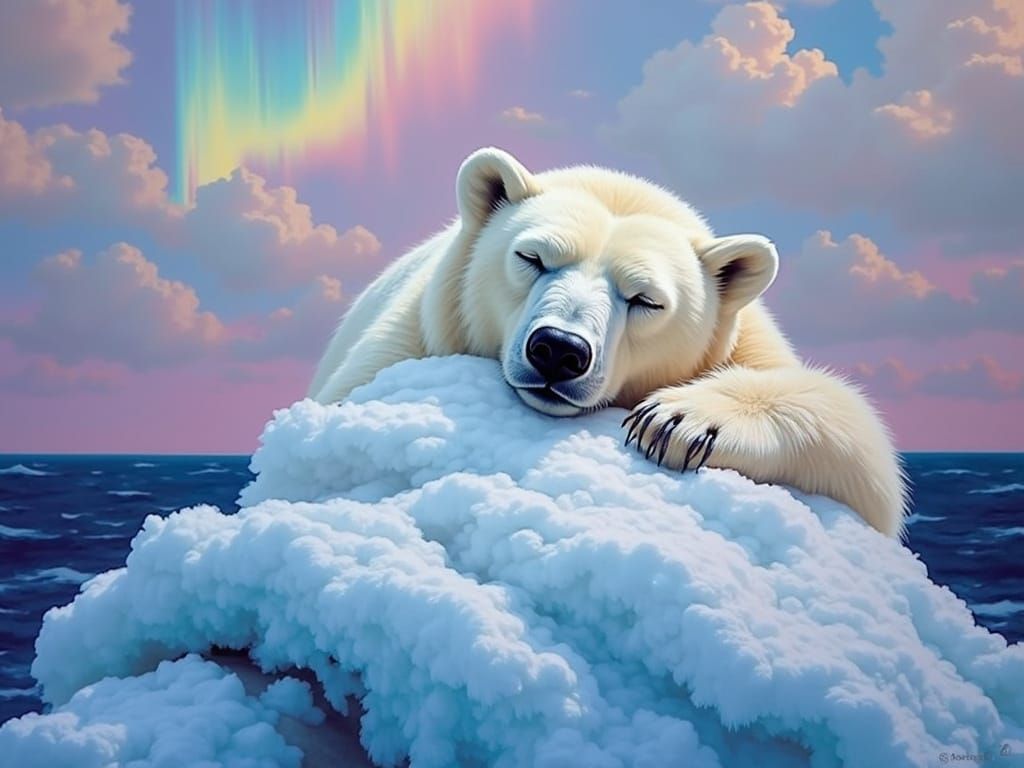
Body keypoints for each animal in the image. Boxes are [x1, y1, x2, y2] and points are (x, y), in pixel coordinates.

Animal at [309, 148, 908, 538]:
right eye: (532, 257)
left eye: (645, 299)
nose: (558, 349)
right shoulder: (409, 339)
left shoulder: (746, 345)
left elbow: (860, 453)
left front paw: (676, 422)